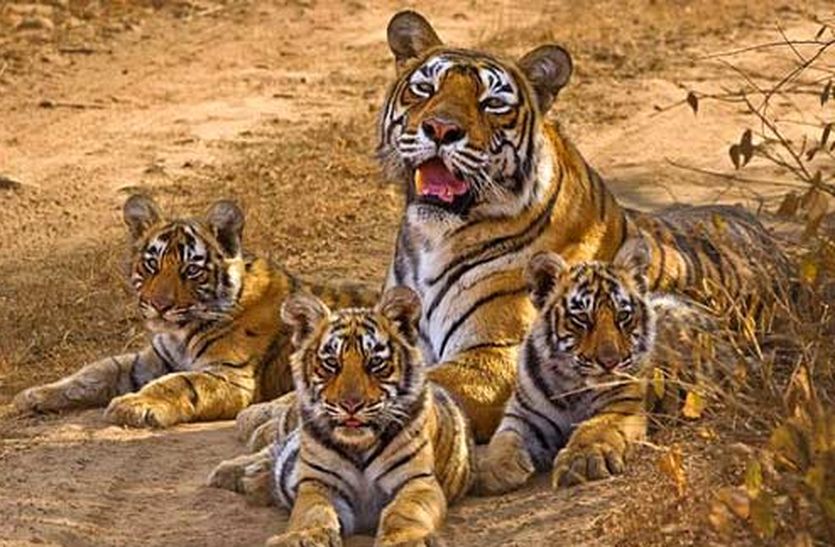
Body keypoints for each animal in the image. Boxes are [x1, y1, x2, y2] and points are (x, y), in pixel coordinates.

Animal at [13, 194, 374, 428]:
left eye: (190, 271)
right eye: (152, 265)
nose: (159, 305)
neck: (181, 333)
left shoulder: (229, 375)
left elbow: (178, 383)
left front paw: (133, 405)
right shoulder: (150, 360)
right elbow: (95, 372)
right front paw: (33, 396)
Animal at [265, 286, 473, 547]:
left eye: (375, 362)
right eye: (331, 362)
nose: (351, 405)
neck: (359, 446)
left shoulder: (417, 481)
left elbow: (404, 511)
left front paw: (404, 540)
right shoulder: (318, 483)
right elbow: (313, 512)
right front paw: (303, 537)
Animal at [476, 240, 740, 494]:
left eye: (622, 316)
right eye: (582, 318)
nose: (610, 361)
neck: (571, 384)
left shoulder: (622, 406)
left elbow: (594, 428)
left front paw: (582, 460)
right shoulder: (524, 415)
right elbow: (504, 438)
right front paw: (492, 468)